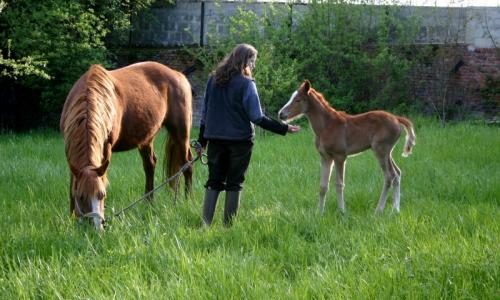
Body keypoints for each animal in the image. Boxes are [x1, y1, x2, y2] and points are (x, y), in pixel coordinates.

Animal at [58, 61, 191, 230]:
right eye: (81, 196)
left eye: (102, 195)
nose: (96, 228)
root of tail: (178, 75)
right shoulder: (70, 154)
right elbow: (72, 185)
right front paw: (72, 219)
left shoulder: (106, 148)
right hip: (146, 139)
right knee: (150, 165)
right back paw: (148, 204)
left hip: (181, 134)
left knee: (187, 164)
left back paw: (188, 199)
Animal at [280, 81, 416, 214]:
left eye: (298, 100)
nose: (281, 114)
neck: (326, 126)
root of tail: (397, 118)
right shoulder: (325, 157)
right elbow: (323, 186)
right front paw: (319, 213)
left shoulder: (340, 156)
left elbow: (339, 184)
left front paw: (342, 212)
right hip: (387, 152)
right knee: (397, 173)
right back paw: (396, 210)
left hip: (381, 150)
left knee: (389, 176)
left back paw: (379, 211)